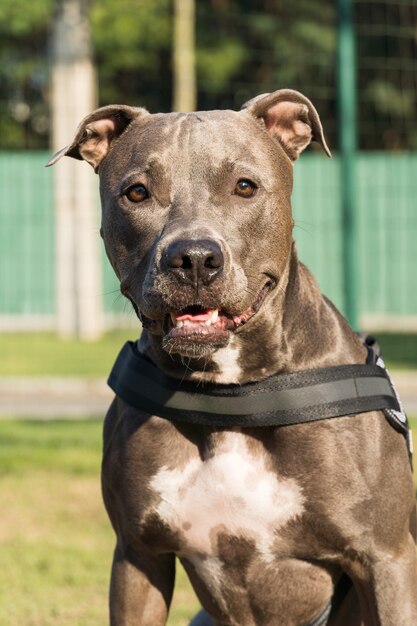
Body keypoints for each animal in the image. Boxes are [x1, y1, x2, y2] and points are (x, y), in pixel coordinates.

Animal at [47, 89, 414, 624]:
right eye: (136, 193)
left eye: (245, 186)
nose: (195, 258)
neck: (230, 393)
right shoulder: (139, 554)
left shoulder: (386, 559)